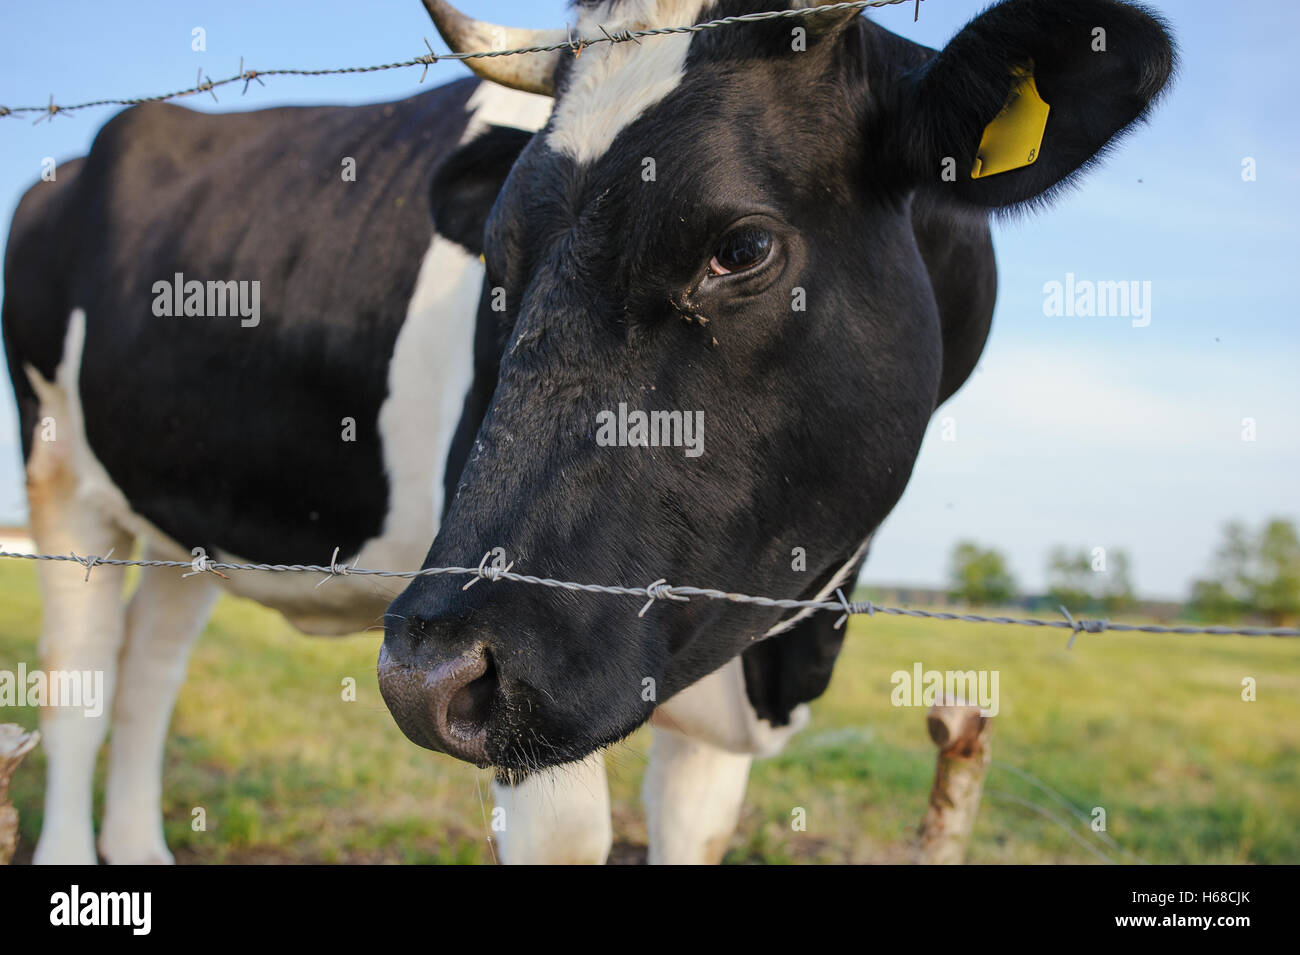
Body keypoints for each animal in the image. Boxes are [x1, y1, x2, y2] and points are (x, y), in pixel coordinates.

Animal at [1, 0, 1173, 865]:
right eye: (498, 259)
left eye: (743, 247)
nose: (427, 674)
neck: (784, 646)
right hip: (58, 466)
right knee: (80, 688)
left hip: (189, 515)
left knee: (149, 675)